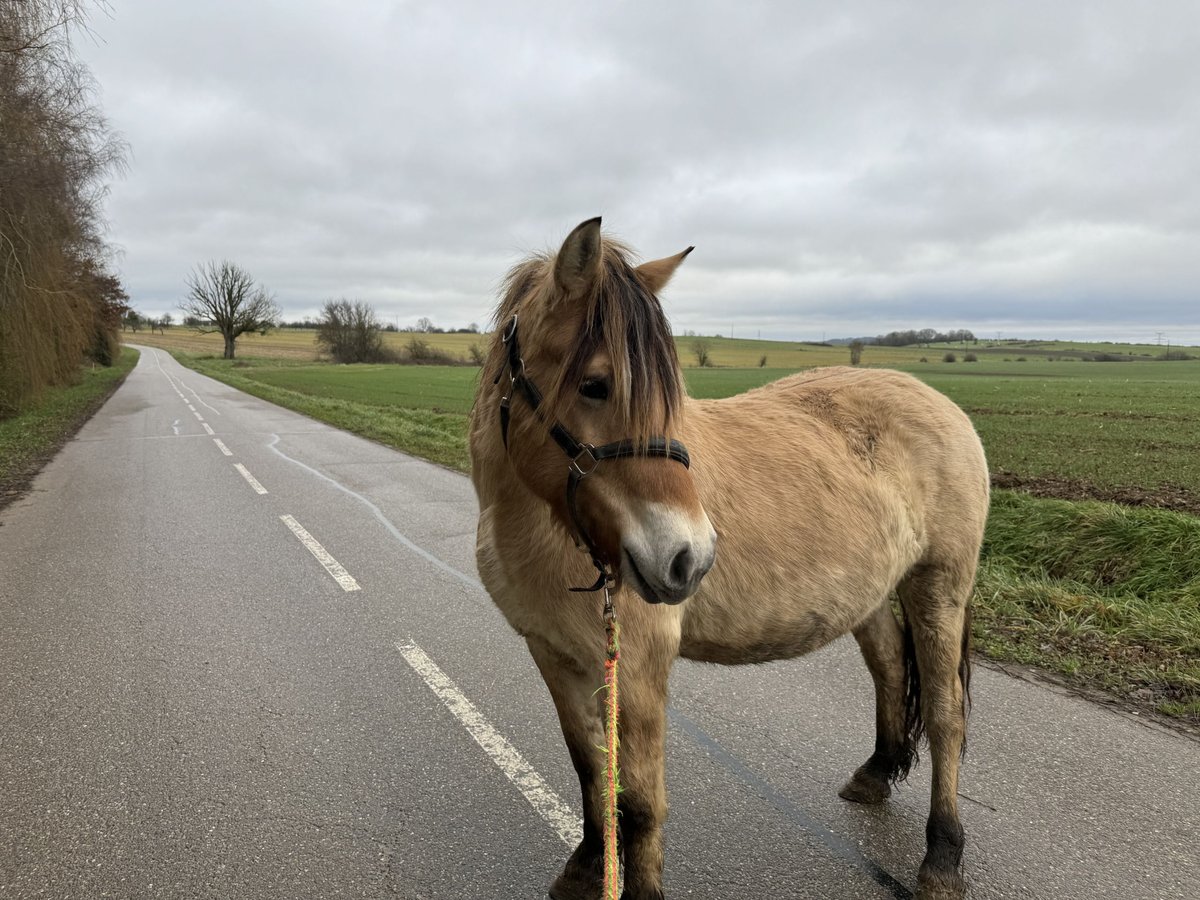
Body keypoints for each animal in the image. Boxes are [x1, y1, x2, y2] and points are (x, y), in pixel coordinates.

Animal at [465, 220, 984, 900]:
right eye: (595, 385)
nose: (689, 558)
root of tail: (940, 402)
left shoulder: (637, 667)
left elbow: (640, 803)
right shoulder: (554, 655)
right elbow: (590, 771)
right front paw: (586, 865)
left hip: (938, 587)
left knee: (947, 715)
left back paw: (943, 856)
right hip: (870, 594)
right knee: (891, 666)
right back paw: (876, 773)